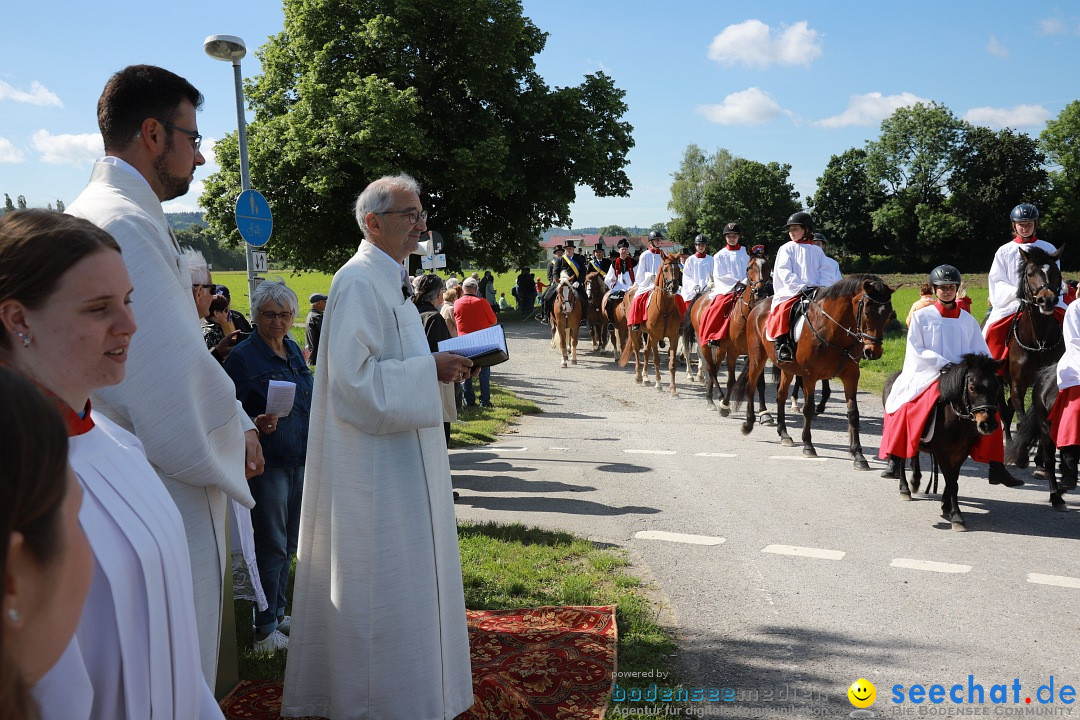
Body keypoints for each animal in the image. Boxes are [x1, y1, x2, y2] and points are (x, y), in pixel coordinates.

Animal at [617, 249, 682, 395]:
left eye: (678, 269)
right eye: (665, 269)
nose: (673, 287)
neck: (665, 308)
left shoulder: (673, 336)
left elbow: (672, 363)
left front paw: (673, 389)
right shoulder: (654, 336)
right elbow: (656, 359)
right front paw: (658, 384)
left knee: (646, 352)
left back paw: (646, 377)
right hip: (634, 331)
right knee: (636, 349)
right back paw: (638, 376)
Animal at [734, 273, 894, 470]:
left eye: (888, 314)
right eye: (867, 311)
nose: (873, 351)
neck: (834, 331)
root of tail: (759, 306)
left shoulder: (851, 376)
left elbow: (853, 413)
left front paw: (858, 455)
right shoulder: (810, 375)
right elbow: (808, 408)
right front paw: (808, 445)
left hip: (787, 369)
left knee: (780, 396)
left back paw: (784, 433)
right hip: (758, 358)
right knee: (751, 386)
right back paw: (749, 423)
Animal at [885, 354, 1002, 528]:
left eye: (997, 387)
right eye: (972, 388)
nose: (988, 424)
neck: (956, 420)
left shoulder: (961, 454)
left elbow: (954, 480)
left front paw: (946, 505)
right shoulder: (942, 454)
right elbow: (951, 482)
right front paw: (957, 517)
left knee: (914, 454)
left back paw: (915, 481)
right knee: (901, 459)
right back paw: (905, 489)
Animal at [997, 245, 1067, 442]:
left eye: (1056, 272)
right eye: (1029, 273)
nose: (1047, 299)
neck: (1039, 343)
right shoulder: (1017, 386)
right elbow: (1021, 422)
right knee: (1004, 412)